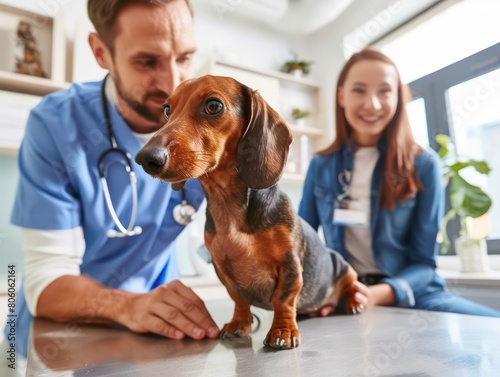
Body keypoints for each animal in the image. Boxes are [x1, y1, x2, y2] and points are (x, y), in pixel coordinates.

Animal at [136, 75, 364, 348]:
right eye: (167, 110)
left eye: (213, 105)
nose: (145, 158)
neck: (228, 205)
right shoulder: (223, 269)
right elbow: (238, 298)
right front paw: (239, 324)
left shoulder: (290, 263)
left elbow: (283, 298)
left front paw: (283, 330)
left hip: (345, 268)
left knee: (351, 286)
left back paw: (353, 303)